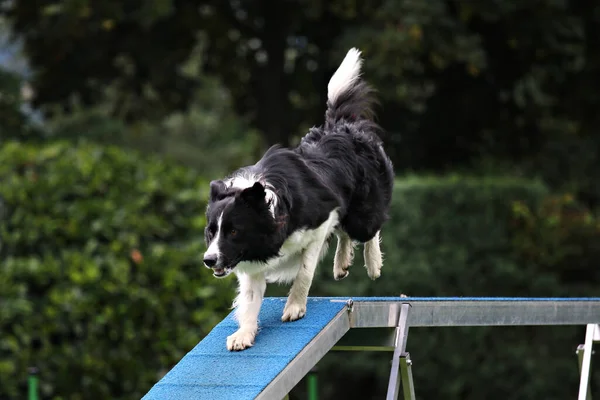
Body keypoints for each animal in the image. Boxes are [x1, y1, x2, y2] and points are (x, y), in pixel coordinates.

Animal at [204, 47, 396, 350]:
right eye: (211, 232)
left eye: (234, 231)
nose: (209, 260)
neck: (268, 208)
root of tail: (340, 126)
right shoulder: (250, 260)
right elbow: (249, 299)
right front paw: (244, 334)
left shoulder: (319, 222)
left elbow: (305, 271)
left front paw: (294, 307)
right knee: (345, 233)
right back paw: (342, 263)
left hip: (362, 212)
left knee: (369, 228)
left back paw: (373, 263)